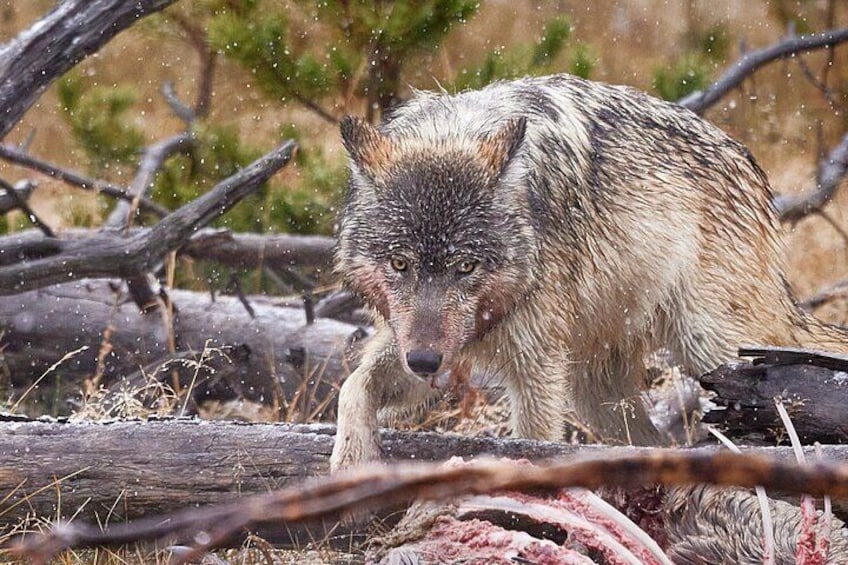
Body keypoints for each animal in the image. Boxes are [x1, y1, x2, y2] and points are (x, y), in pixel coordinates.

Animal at [330, 74, 848, 472]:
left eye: (466, 266)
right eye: (400, 264)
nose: (424, 362)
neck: (453, 132)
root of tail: (754, 172)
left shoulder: (535, 364)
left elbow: (534, 441)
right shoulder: (419, 340)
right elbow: (353, 388)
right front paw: (350, 461)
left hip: (715, 351)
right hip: (595, 394)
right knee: (654, 443)